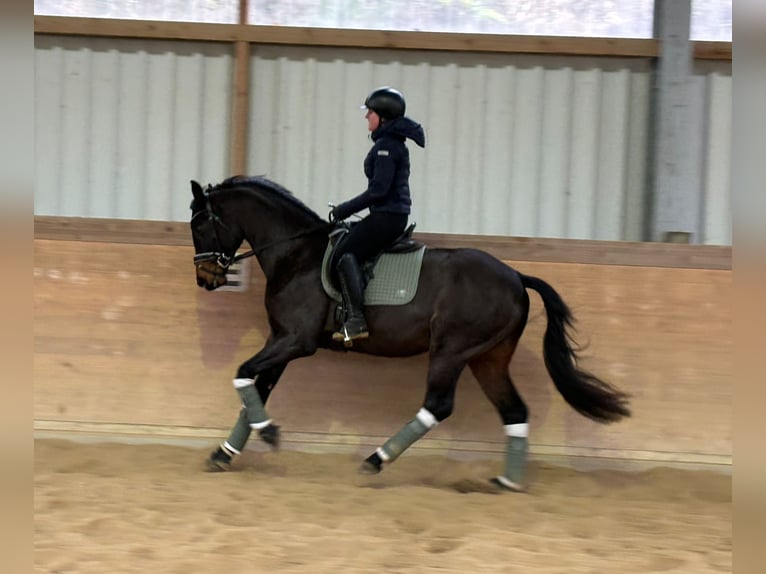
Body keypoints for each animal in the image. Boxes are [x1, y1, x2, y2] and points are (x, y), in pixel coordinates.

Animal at [190, 174, 632, 490]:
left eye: (200, 226)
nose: (206, 279)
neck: (296, 254)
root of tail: (515, 277)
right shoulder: (281, 340)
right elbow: (255, 388)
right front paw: (225, 453)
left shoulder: (296, 341)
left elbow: (243, 375)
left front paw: (268, 433)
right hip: (488, 357)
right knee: (514, 410)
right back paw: (508, 481)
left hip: (452, 351)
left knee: (437, 405)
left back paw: (375, 461)